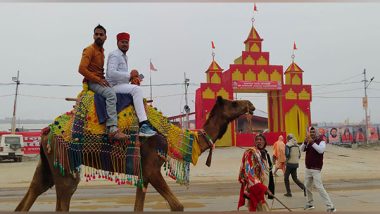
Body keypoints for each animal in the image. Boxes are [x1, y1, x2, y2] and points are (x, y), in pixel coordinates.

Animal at [14, 96, 254, 211]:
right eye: (234, 103)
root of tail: (46, 131)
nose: (250, 104)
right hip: (65, 164)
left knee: (32, 192)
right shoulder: (152, 168)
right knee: (65, 195)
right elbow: (178, 206)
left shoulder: (143, 174)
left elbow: (138, 207)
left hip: (47, 164)